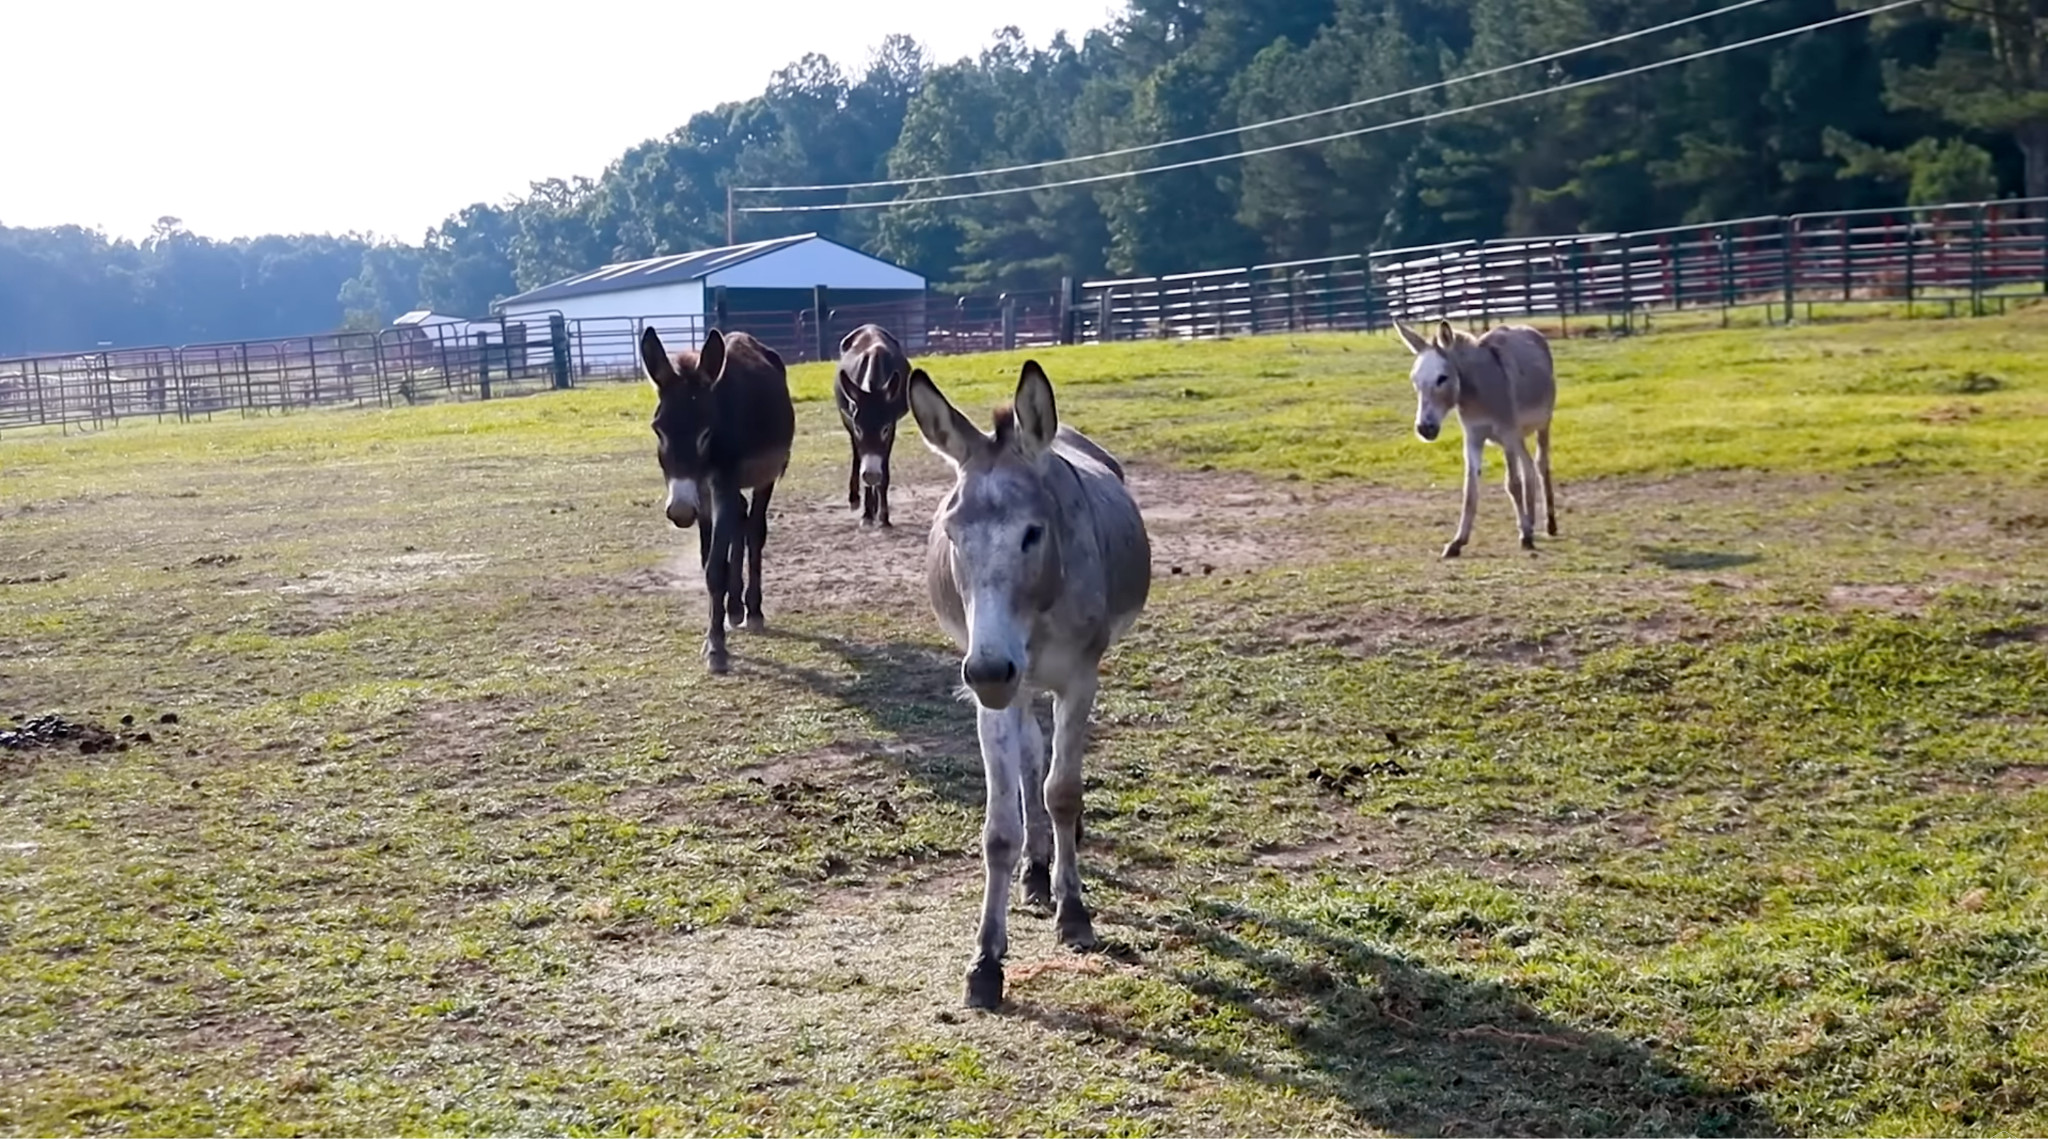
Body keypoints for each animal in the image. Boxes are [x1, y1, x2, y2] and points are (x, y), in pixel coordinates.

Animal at [640, 326, 796, 674]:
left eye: (705, 432)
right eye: (658, 431)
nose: (680, 511)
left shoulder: (720, 486)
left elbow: (714, 569)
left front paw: (716, 649)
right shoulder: (703, 498)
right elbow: (709, 562)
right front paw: (719, 624)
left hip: (765, 478)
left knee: (754, 529)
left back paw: (752, 611)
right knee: (740, 517)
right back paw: (735, 608)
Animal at [833, 324, 912, 528]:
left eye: (884, 429)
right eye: (859, 428)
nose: (870, 475)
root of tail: (869, 326)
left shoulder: (892, 427)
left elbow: (884, 475)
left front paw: (883, 516)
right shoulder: (853, 424)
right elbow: (861, 458)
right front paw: (867, 514)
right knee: (856, 455)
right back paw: (855, 499)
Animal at [908, 359, 1152, 1010]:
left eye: (1033, 533)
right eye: (952, 534)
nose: (991, 671)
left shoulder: (1079, 679)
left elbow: (1063, 791)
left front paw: (1075, 913)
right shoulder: (990, 691)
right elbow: (1000, 829)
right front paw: (986, 962)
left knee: (1046, 768)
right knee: (1028, 758)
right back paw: (1037, 868)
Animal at [1393, 318, 1558, 558]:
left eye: (1442, 378)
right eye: (1414, 380)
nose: (1424, 429)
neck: (1476, 392)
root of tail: (1528, 328)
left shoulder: (1507, 435)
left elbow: (1513, 483)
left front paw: (1525, 538)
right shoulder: (1473, 438)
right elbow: (1470, 489)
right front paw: (1457, 542)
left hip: (1542, 426)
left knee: (1540, 465)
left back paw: (1549, 525)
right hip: (1518, 436)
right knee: (1528, 466)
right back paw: (1529, 522)